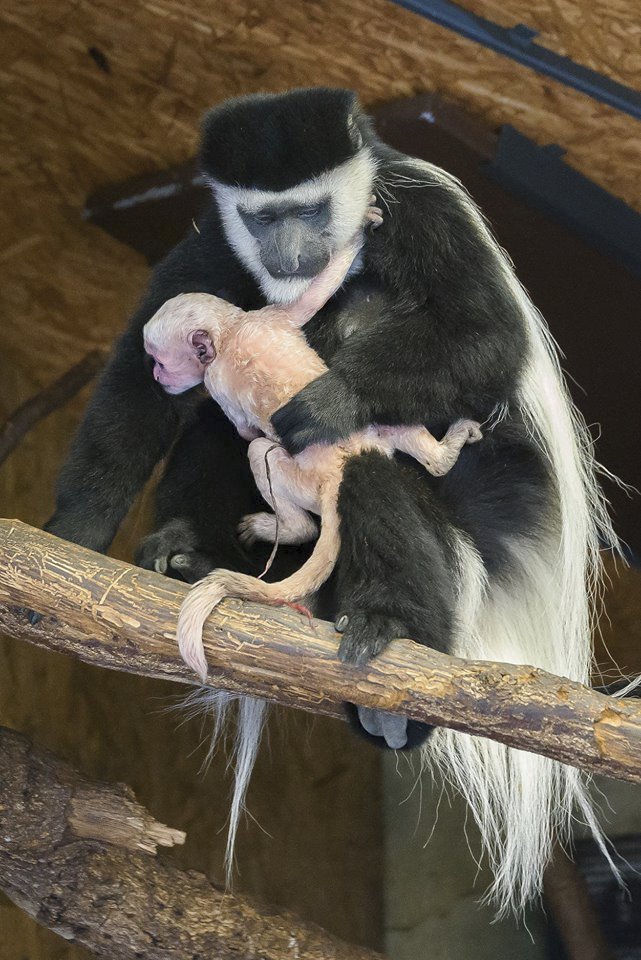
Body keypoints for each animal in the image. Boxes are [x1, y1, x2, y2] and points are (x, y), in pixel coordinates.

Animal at [141, 229, 480, 680]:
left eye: (162, 361)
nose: (157, 375)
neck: (231, 332)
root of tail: (341, 471)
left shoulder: (221, 371)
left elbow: (245, 429)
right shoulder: (267, 319)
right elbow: (312, 299)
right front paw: (364, 230)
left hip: (302, 479)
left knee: (262, 452)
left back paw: (288, 527)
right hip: (372, 432)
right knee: (383, 418)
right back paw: (444, 454)